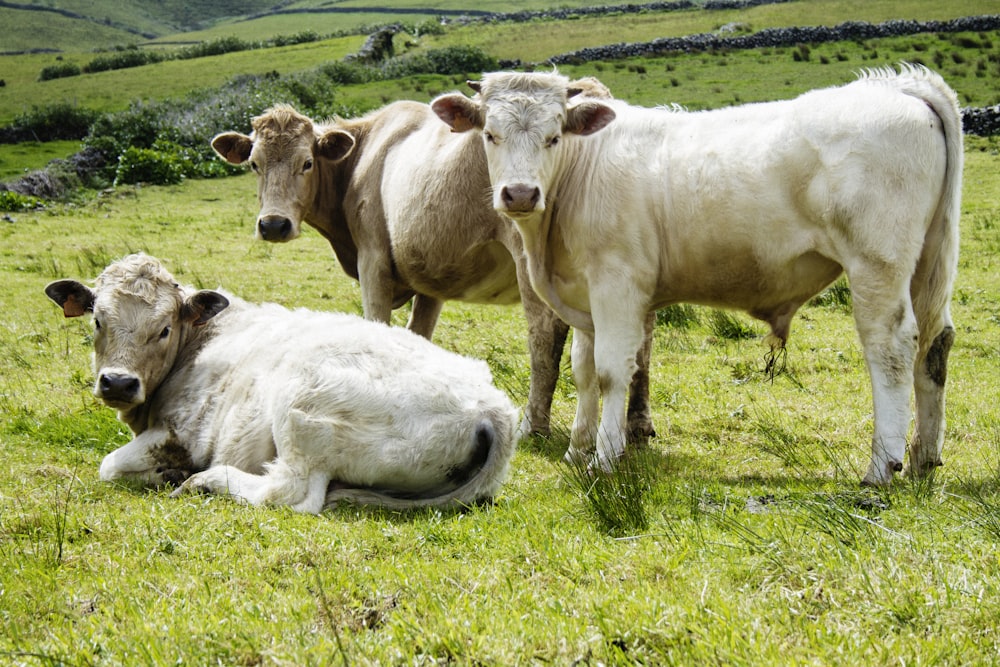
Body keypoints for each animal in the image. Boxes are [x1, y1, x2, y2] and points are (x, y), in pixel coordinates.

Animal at [45, 253, 516, 516]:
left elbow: (109, 466)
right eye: (97, 320)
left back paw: (205, 481)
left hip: (303, 406)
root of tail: (493, 407)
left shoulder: (182, 434)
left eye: (163, 330)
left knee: (290, 493)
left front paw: (166, 471)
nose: (118, 383)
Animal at [434, 66, 964, 486]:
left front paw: (604, 457)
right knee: (934, 344)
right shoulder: (583, 294)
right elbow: (582, 372)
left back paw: (881, 467)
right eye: (490, 135)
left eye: (554, 137)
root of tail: (895, 86)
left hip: (877, 263)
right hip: (927, 265)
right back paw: (923, 458)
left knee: (891, 349)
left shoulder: (616, 286)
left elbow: (610, 372)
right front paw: (576, 449)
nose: (520, 194)